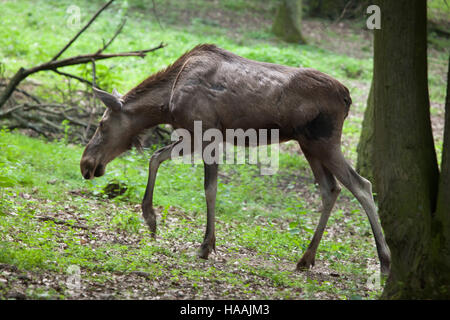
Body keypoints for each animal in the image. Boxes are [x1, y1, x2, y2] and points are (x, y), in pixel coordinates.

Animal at [80, 43, 390, 274]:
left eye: (102, 124)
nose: (86, 165)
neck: (166, 103)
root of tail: (348, 98)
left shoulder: (204, 132)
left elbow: (208, 187)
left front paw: (204, 244)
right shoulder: (196, 135)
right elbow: (157, 158)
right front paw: (152, 220)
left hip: (324, 141)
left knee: (361, 185)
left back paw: (384, 260)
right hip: (309, 144)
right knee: (331, 188)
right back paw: (306, 258)